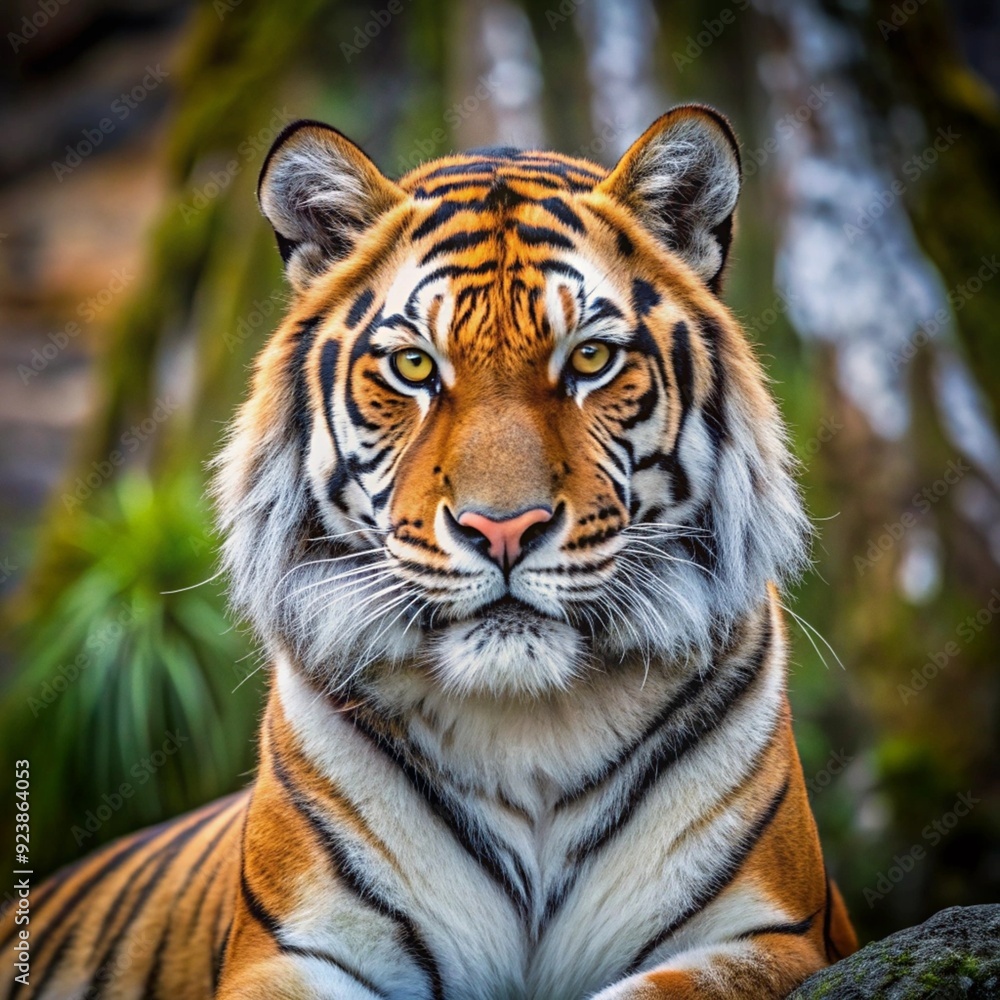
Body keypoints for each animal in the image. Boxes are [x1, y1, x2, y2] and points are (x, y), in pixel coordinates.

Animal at [1, 104, 857, 999]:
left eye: (590, 357)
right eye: (414, 365)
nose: (504, 529)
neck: (530, 729)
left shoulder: (770, 935)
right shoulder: (293, 952)